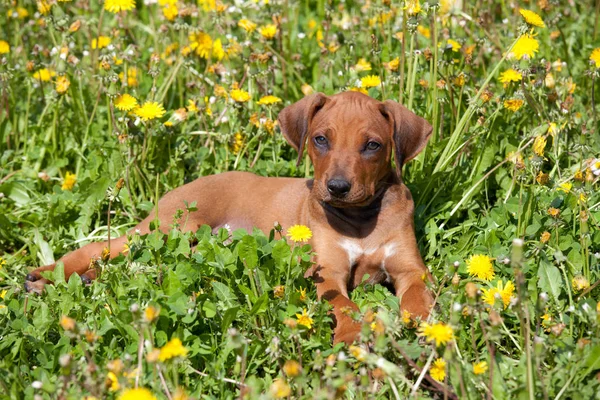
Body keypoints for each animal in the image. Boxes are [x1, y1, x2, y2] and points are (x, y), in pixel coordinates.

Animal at [25, 92, 434, 346]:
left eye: (372, 145)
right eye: (320, 139)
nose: (336, 187)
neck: (361, 219)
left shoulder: (410, 269)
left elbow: (417, 295)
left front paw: (426, 326)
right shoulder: (326, 273)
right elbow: (343, 304)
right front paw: (352, 333)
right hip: (171, 228)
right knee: (101, 247)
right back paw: (45, 276)